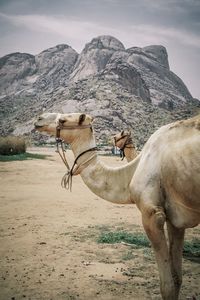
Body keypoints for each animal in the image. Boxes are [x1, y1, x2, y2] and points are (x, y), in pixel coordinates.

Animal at [34, 113, 200, 300]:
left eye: (63, 120)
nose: (39, 119)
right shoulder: (175, 218)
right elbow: (177, 279)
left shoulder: (152, 213)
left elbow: (168, 286)